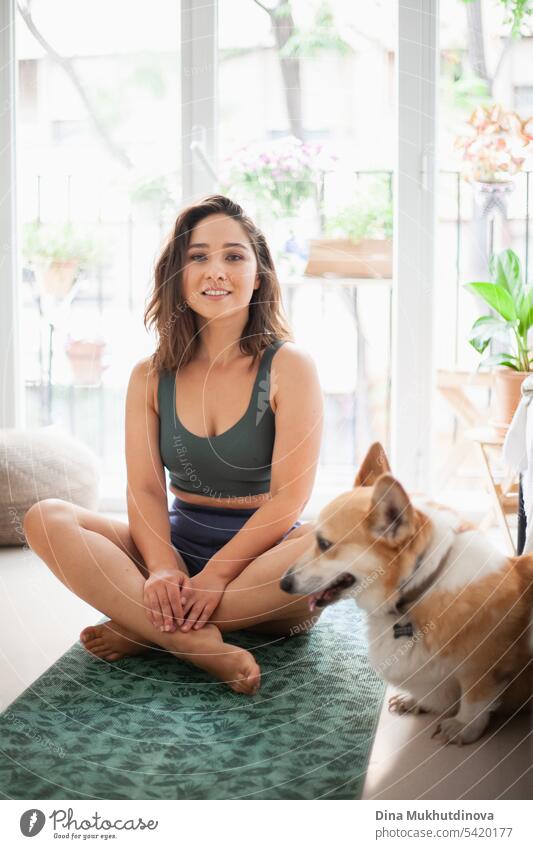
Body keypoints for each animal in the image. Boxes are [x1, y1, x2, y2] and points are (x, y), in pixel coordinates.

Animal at [280, 444, 528, 744]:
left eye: (324, 544)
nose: (283, 584)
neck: (420, 588)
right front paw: (416, 701)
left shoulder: (484, 666)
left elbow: (474, 699)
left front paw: (462, 726)